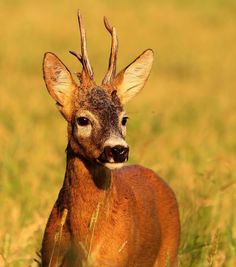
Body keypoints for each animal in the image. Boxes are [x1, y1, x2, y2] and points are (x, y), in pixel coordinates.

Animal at [41, 10, 180, 267]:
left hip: (169, 254)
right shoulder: (49, 258)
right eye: (83, 119)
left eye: (124, 119)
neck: (85, 242)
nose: (118, 150)